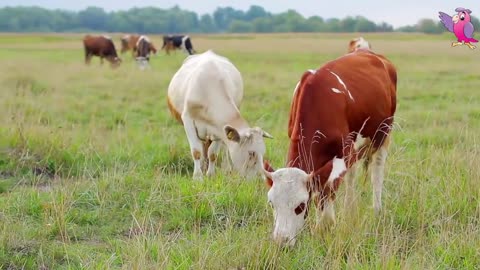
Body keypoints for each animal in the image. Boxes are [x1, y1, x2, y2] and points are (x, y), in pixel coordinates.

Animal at [167, 49, 272, 180]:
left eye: (263, 152)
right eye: (251, 153)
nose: (261, 179)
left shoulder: (218, 128)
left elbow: (213, 153)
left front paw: (210, 175)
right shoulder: (188, 121)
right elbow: (196, 151)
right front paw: (198, 177)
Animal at [264, 49, 396, 248]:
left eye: (300, 206)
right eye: (272, 203)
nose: (282, 241)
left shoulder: (343, 153)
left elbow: (327, 190)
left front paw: (325, 226)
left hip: (383, 134)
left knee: (377, 172)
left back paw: (376, 209)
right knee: (351, 177)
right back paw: (349, 210)